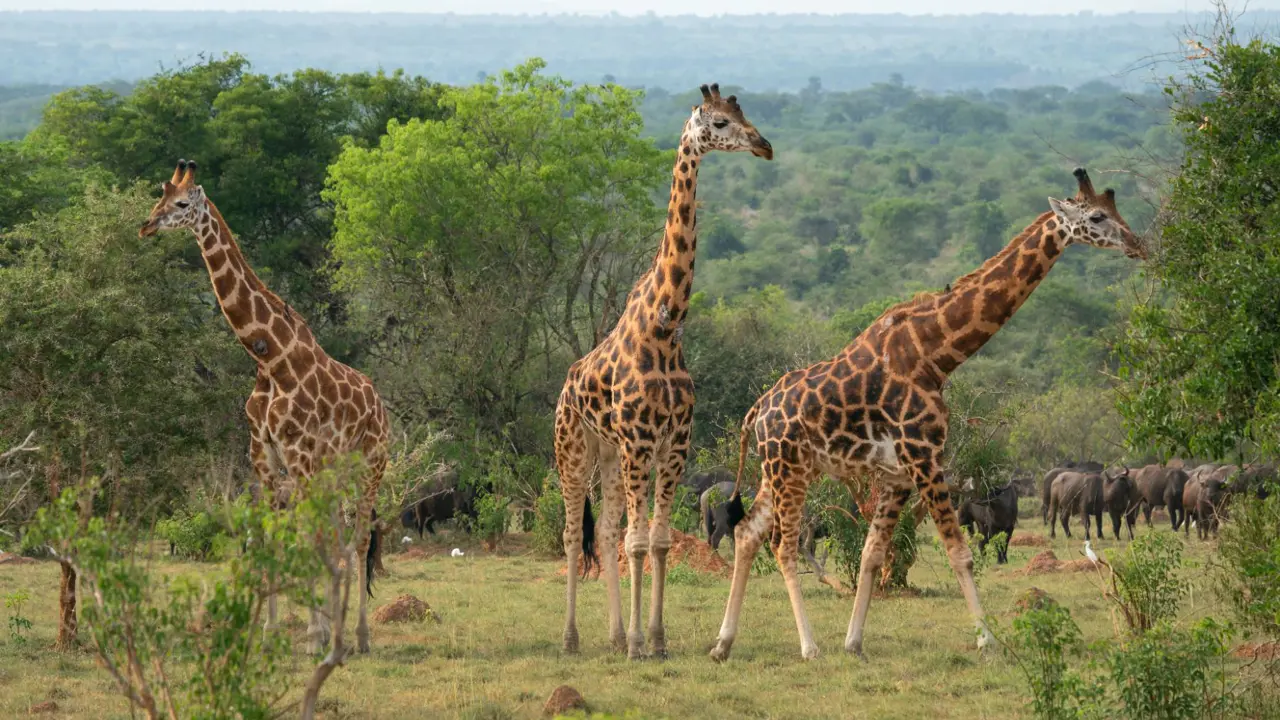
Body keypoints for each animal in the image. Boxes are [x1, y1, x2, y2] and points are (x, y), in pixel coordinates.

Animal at [140, 159, 389, 655]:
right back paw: (337, 627)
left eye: (181, 203)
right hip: (333, 471)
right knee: (338, 535)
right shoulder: (263, 454)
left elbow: (309, 539)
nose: (146, 226)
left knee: (356, 538)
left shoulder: (300, 453)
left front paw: (312, 636)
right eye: (158, 197)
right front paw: (273, 632)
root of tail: (382, 405)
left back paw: (358, 636)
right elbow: (272, 538)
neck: (271, 359)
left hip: (370, 464)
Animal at [555, 84, 773, 659]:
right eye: (718, 123)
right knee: (573, 533)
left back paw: (611, 635)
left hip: (608, 455)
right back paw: (572, 638)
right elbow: (637, 542)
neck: (666, 326)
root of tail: (565, 386)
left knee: (607, 529)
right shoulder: (639, 442)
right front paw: (638, 644)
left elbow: (655, 541)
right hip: (574, 449)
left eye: (743, 113)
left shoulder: (674, 443)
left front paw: (654, 639)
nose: (764, 146)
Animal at [709, 168, 1146, 662]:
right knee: (782, 546)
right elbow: (959, 552)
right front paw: (988, 642)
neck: (936, 354)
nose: (1138, 244)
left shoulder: (898, 473)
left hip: (783, 469)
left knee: (747, 533)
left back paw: (723, 644)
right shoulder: (924, 456)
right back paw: (808, 647)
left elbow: (873, 553)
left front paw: (855, 643)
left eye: (1115, 210)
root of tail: (754, 414)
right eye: (1096, 216)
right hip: (789, 469)